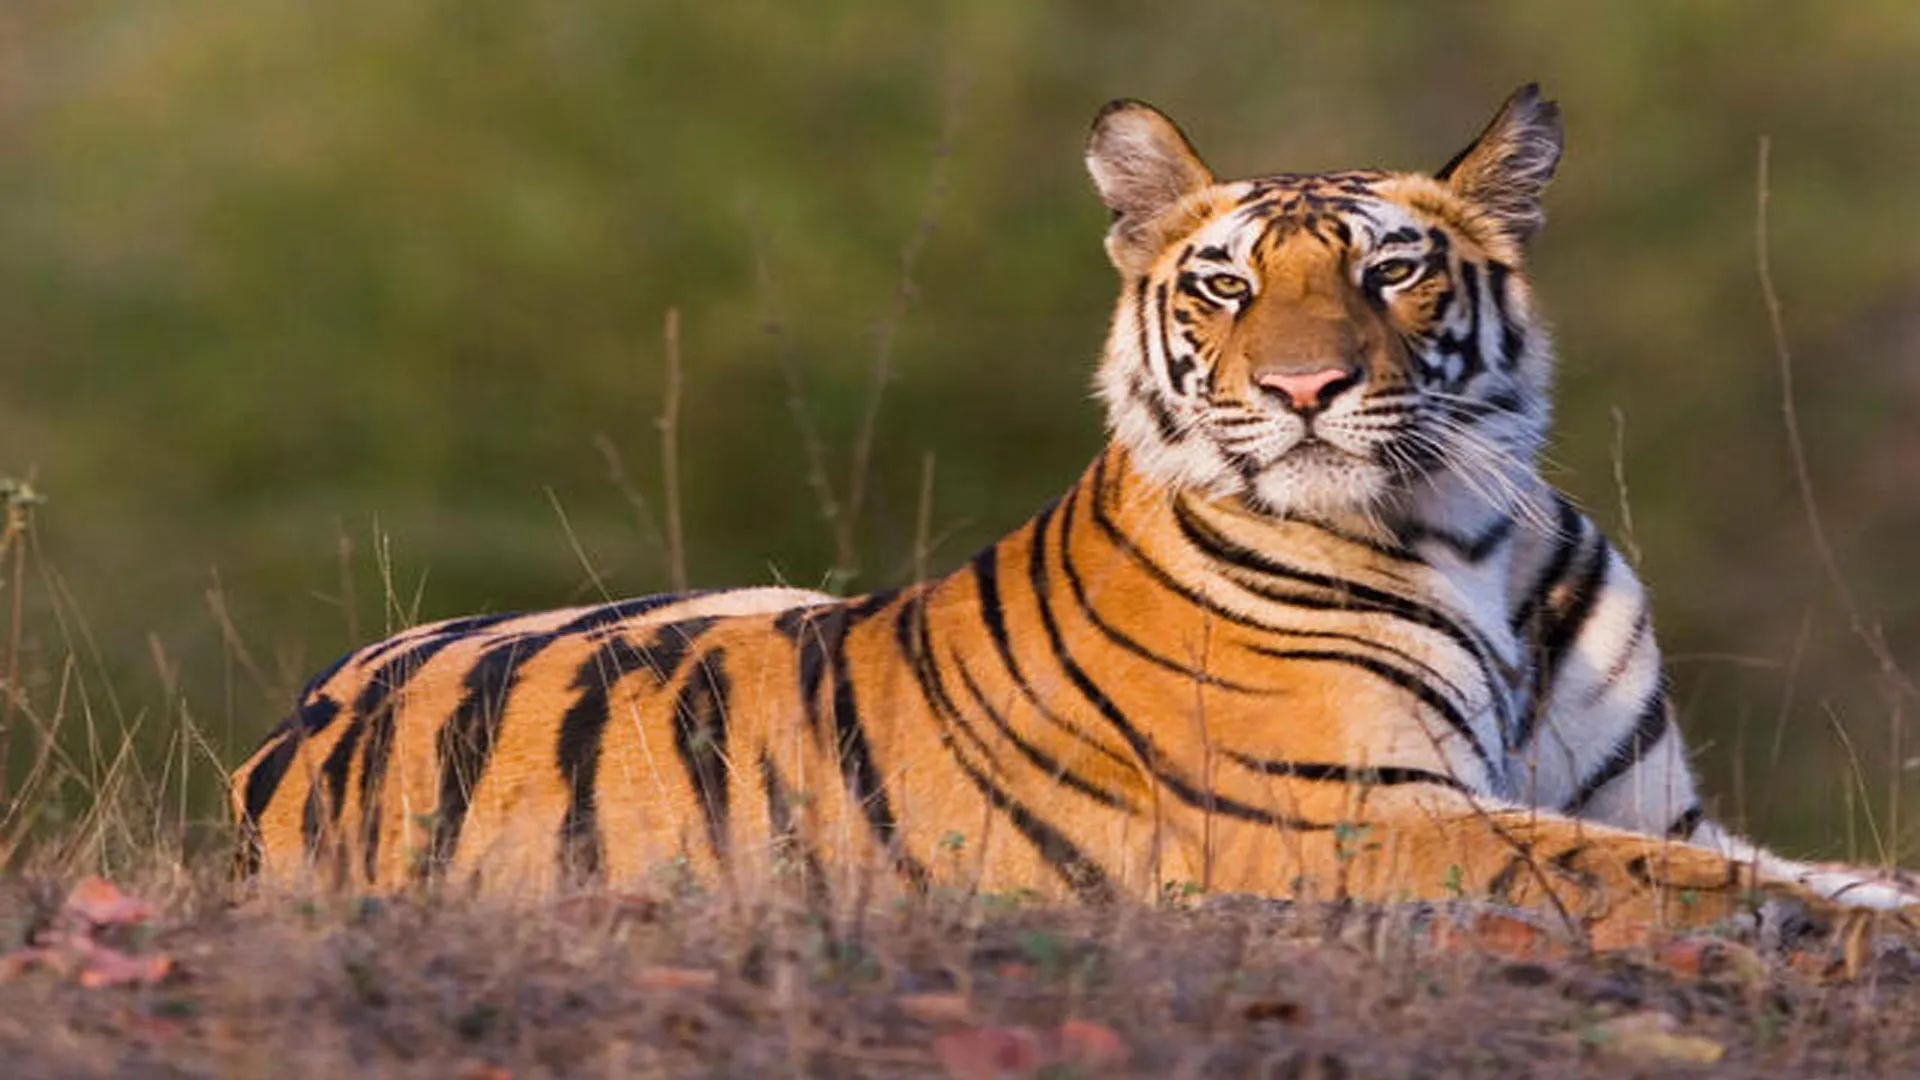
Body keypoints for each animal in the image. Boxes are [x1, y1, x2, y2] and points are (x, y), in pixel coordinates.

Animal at [231, 85, 1919, 941]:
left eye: (1394, 271)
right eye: (1225, 287)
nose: (1304, 388)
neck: (1472, 535)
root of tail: (283, 741)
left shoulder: (1648, 800)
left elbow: (1754, 861)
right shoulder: (1353, 818)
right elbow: (1685, 886)